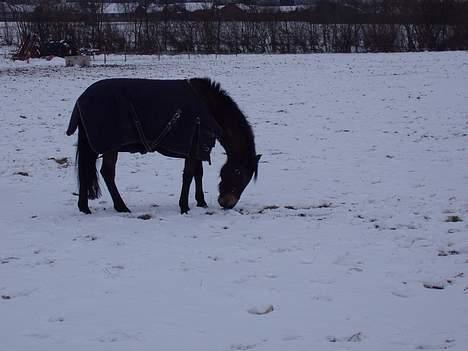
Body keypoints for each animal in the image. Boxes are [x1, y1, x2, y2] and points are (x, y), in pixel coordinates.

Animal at [66, 77, 260, 214]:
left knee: (87, 171)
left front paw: (201, 202)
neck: (209, 108)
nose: (228, 203)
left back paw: (84, 207)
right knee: (107, 173)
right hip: (110, 147)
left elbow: (198, 174)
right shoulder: (193, 146)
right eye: (239, 173)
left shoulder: (197, 147)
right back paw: (121, 207)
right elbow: (189, 175)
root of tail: (81, 99)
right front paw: (184, 207)